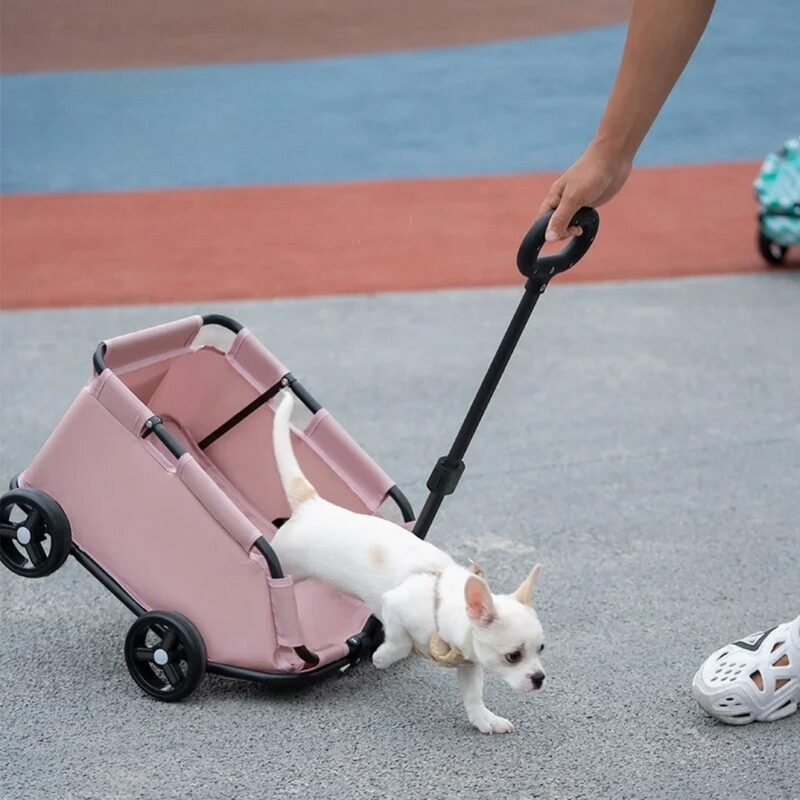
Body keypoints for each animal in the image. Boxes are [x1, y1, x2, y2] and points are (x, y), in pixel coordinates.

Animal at [272, 390, 548, 736]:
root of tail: (312, 504)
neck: (444, 605)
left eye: (541, 650)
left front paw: (485, 719)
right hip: (286, 563)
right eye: (513, 656)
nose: (539, 678)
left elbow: (473, 695)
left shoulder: (469, 663)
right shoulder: (394, 605)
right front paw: (382, 657)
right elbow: (401, 643)